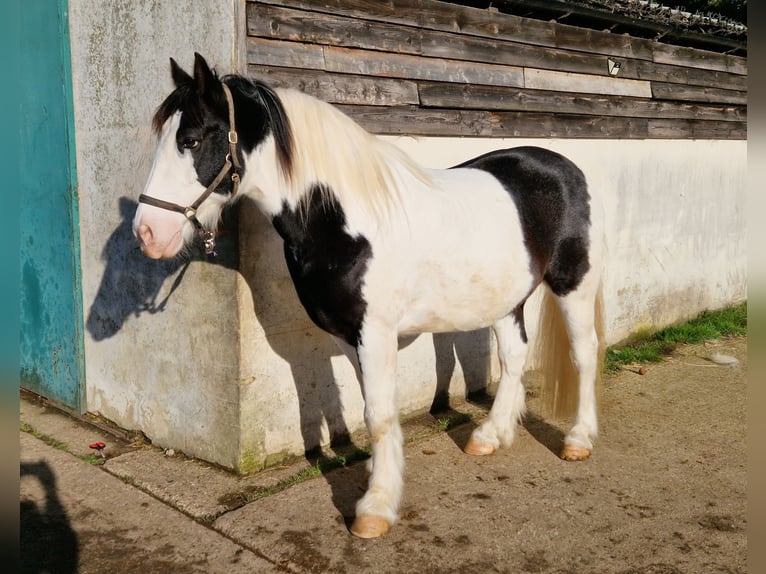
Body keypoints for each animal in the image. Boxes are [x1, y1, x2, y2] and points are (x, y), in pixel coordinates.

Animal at [134, 54, 608, 540]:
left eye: (191, 140)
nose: (148, 233)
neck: (344, 221)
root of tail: (563, 166)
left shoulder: (375, 332)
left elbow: (378, 415)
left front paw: (376, 507)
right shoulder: (347, 335)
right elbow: (369, 408)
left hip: (574, 282)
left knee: (584, 352)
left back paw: (578, 440)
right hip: (506, 296)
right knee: (514, 356)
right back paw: (490, 436)